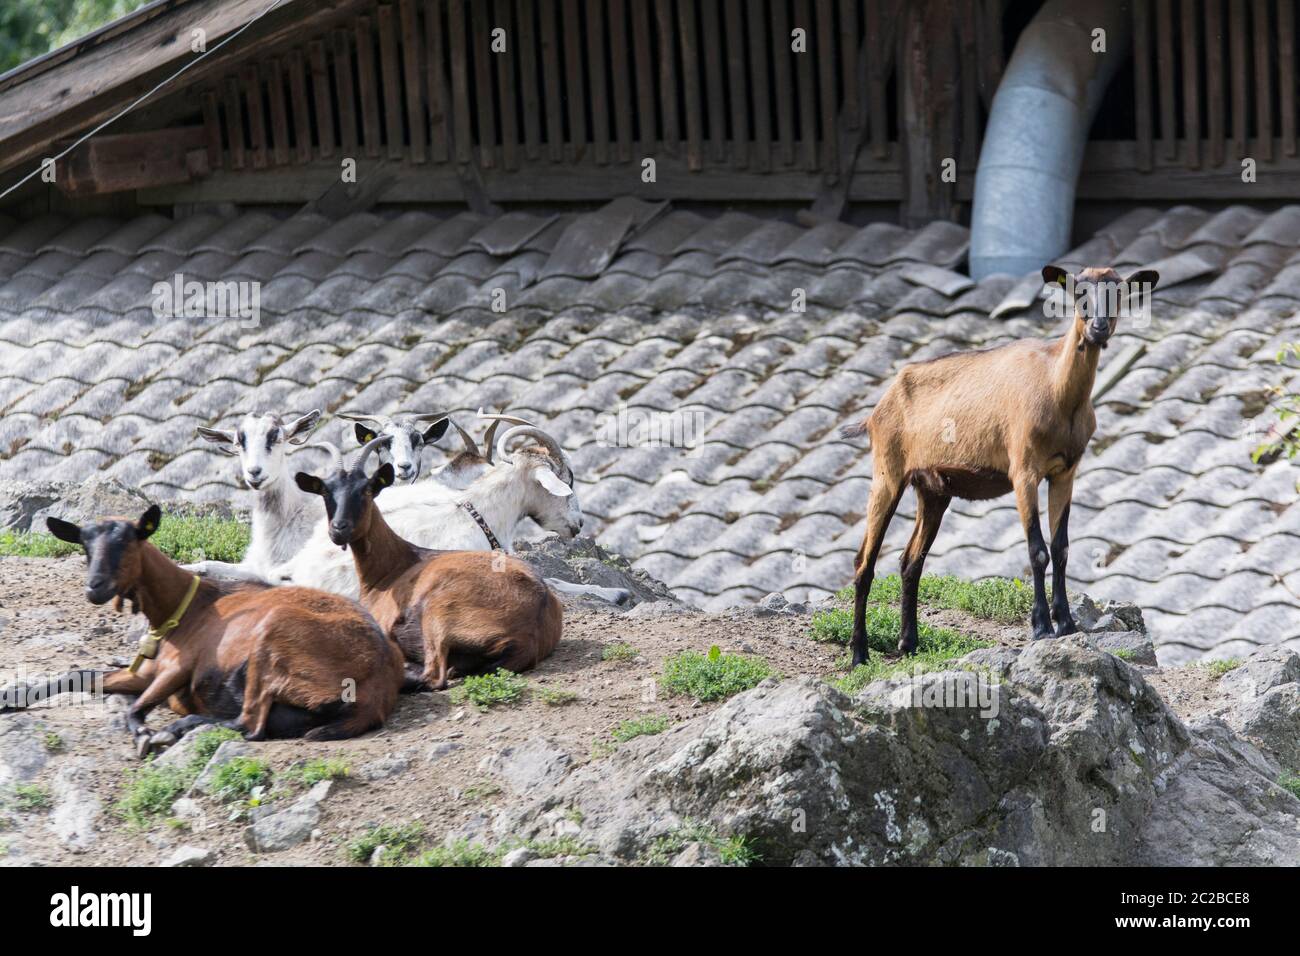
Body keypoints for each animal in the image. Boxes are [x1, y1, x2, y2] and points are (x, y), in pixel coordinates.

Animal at [4, 505, 404, 757]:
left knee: (249, 723)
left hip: (272, 639)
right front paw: (10, 697)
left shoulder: (178, 668)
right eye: (85, 547)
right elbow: (79, 675)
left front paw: (146, 736)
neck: (184, 608)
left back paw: (179, 728)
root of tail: (380, 681)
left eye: (127, 542)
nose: (95, 588)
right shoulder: (145, 672)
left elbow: (136, 711)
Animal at [295, 437, 562, 689]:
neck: (391, 568)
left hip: (438, 614)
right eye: (326, 492)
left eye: (367, 490)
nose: (338, 529)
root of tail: (531, 630)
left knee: (434, 676)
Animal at [840, 265, 1159, 665]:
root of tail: (876, 410)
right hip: (887, 473)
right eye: (1078, 291)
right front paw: (1041, 627)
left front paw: (1067, 624)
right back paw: (859, 654)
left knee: (910, 561)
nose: (1098, 328)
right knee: (863, 562)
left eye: (1119, 293)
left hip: (932, 489)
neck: (1057, 389)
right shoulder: (1023, 470)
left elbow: (1061, 548)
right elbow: (1037, 550)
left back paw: (908, 644)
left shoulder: (1065, 472)